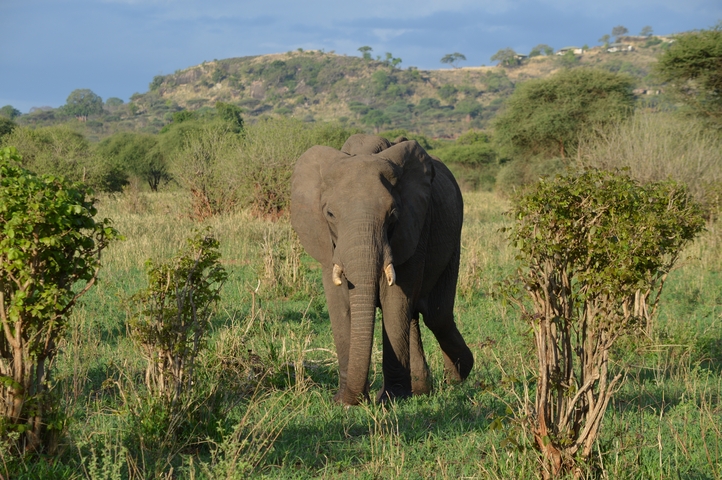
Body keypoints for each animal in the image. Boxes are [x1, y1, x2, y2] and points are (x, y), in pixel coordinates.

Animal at [290, 134, 473, 405]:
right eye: (330, 214)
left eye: (392, 215)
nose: (356, 398)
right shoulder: (327, 242)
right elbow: (339, 302)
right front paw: (344, 401)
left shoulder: (414, 226)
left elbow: (396, 298)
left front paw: (390, 399)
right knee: (418, 315)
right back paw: (423, 389)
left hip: (452, 241)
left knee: (436, 315)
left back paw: (458, 376)